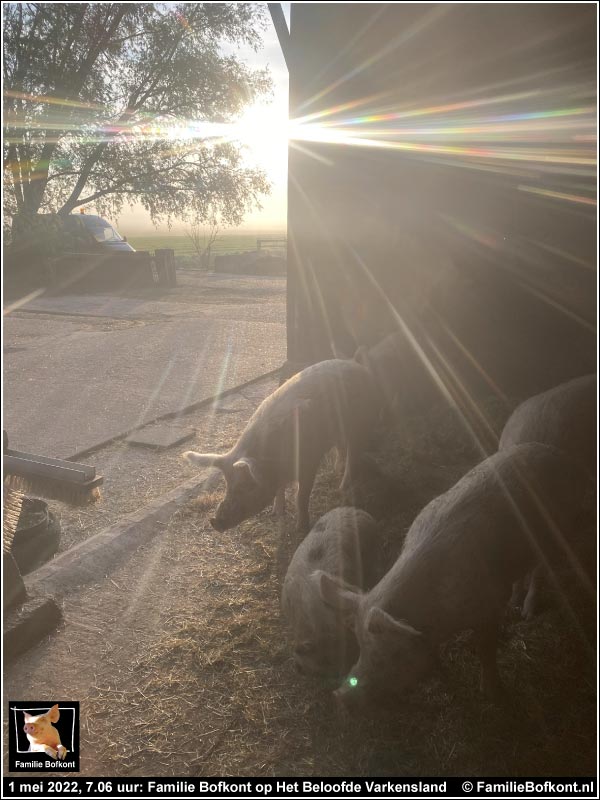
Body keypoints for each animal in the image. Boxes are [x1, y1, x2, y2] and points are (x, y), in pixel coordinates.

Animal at [183, 360, 380, 536]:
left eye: (246, 486)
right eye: (227, 486)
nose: (214, 522)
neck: (275, 465)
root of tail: (360, 367)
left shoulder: (308, 465)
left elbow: (301, 496)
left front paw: (301, 529)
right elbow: (280, 491)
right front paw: (277, 512)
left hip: (359, 425)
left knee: (353, 455)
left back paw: (342, 487)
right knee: (341, 448)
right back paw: (335, 470)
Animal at [316, 440, 588, 708]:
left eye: (388, 656)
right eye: (360, 647)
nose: (338, 695)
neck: (437, 615)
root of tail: (557, 452)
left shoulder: (488, 607)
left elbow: (486, 650)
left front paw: (494, 694)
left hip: (559, 530)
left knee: (541, 568)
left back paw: (527, 613)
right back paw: (515, 602)